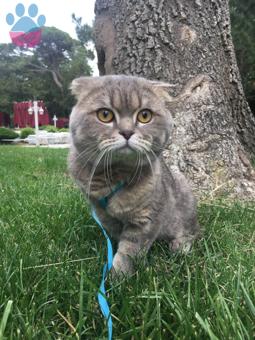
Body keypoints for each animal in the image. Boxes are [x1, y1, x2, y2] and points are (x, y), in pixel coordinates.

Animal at [68, 74, 200, 276]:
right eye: (105, 115)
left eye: (145, 115)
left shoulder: (146, 220)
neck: (115, 175)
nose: (127, 132)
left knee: (191, 232)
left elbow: (130, 250)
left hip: (185, 198)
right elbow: (116, 237)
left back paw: (179, 247)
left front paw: (118, 276)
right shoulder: (102, 213)